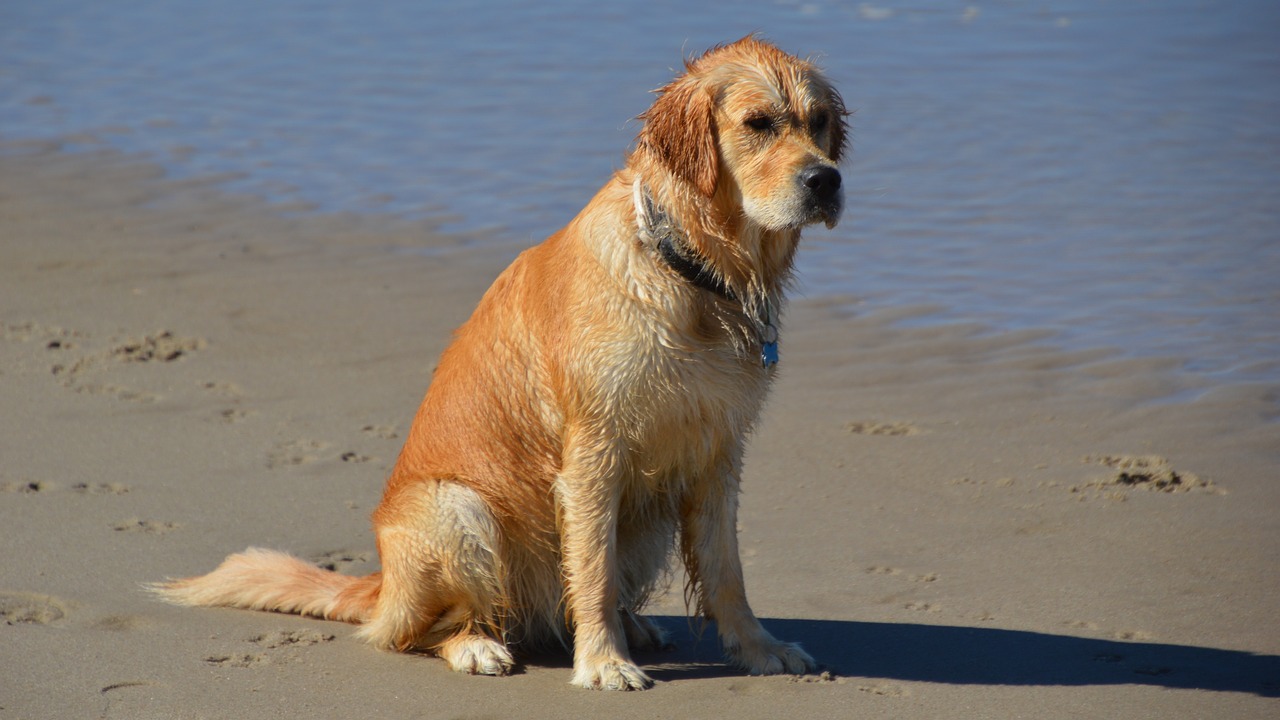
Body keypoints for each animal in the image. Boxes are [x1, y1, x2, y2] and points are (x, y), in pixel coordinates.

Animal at [154, 36, 844, 686]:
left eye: (819, 122)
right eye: (758, 123)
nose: (826, 180)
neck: (696, 272)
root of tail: (381, 586)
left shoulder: (719, 448)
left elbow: (727, 570)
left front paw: (759, 648)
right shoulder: (594, 451)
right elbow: (592, 572)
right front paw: (603, 663)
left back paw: (633, 625)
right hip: (458, 510)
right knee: (427, 630)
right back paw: (479, 645)